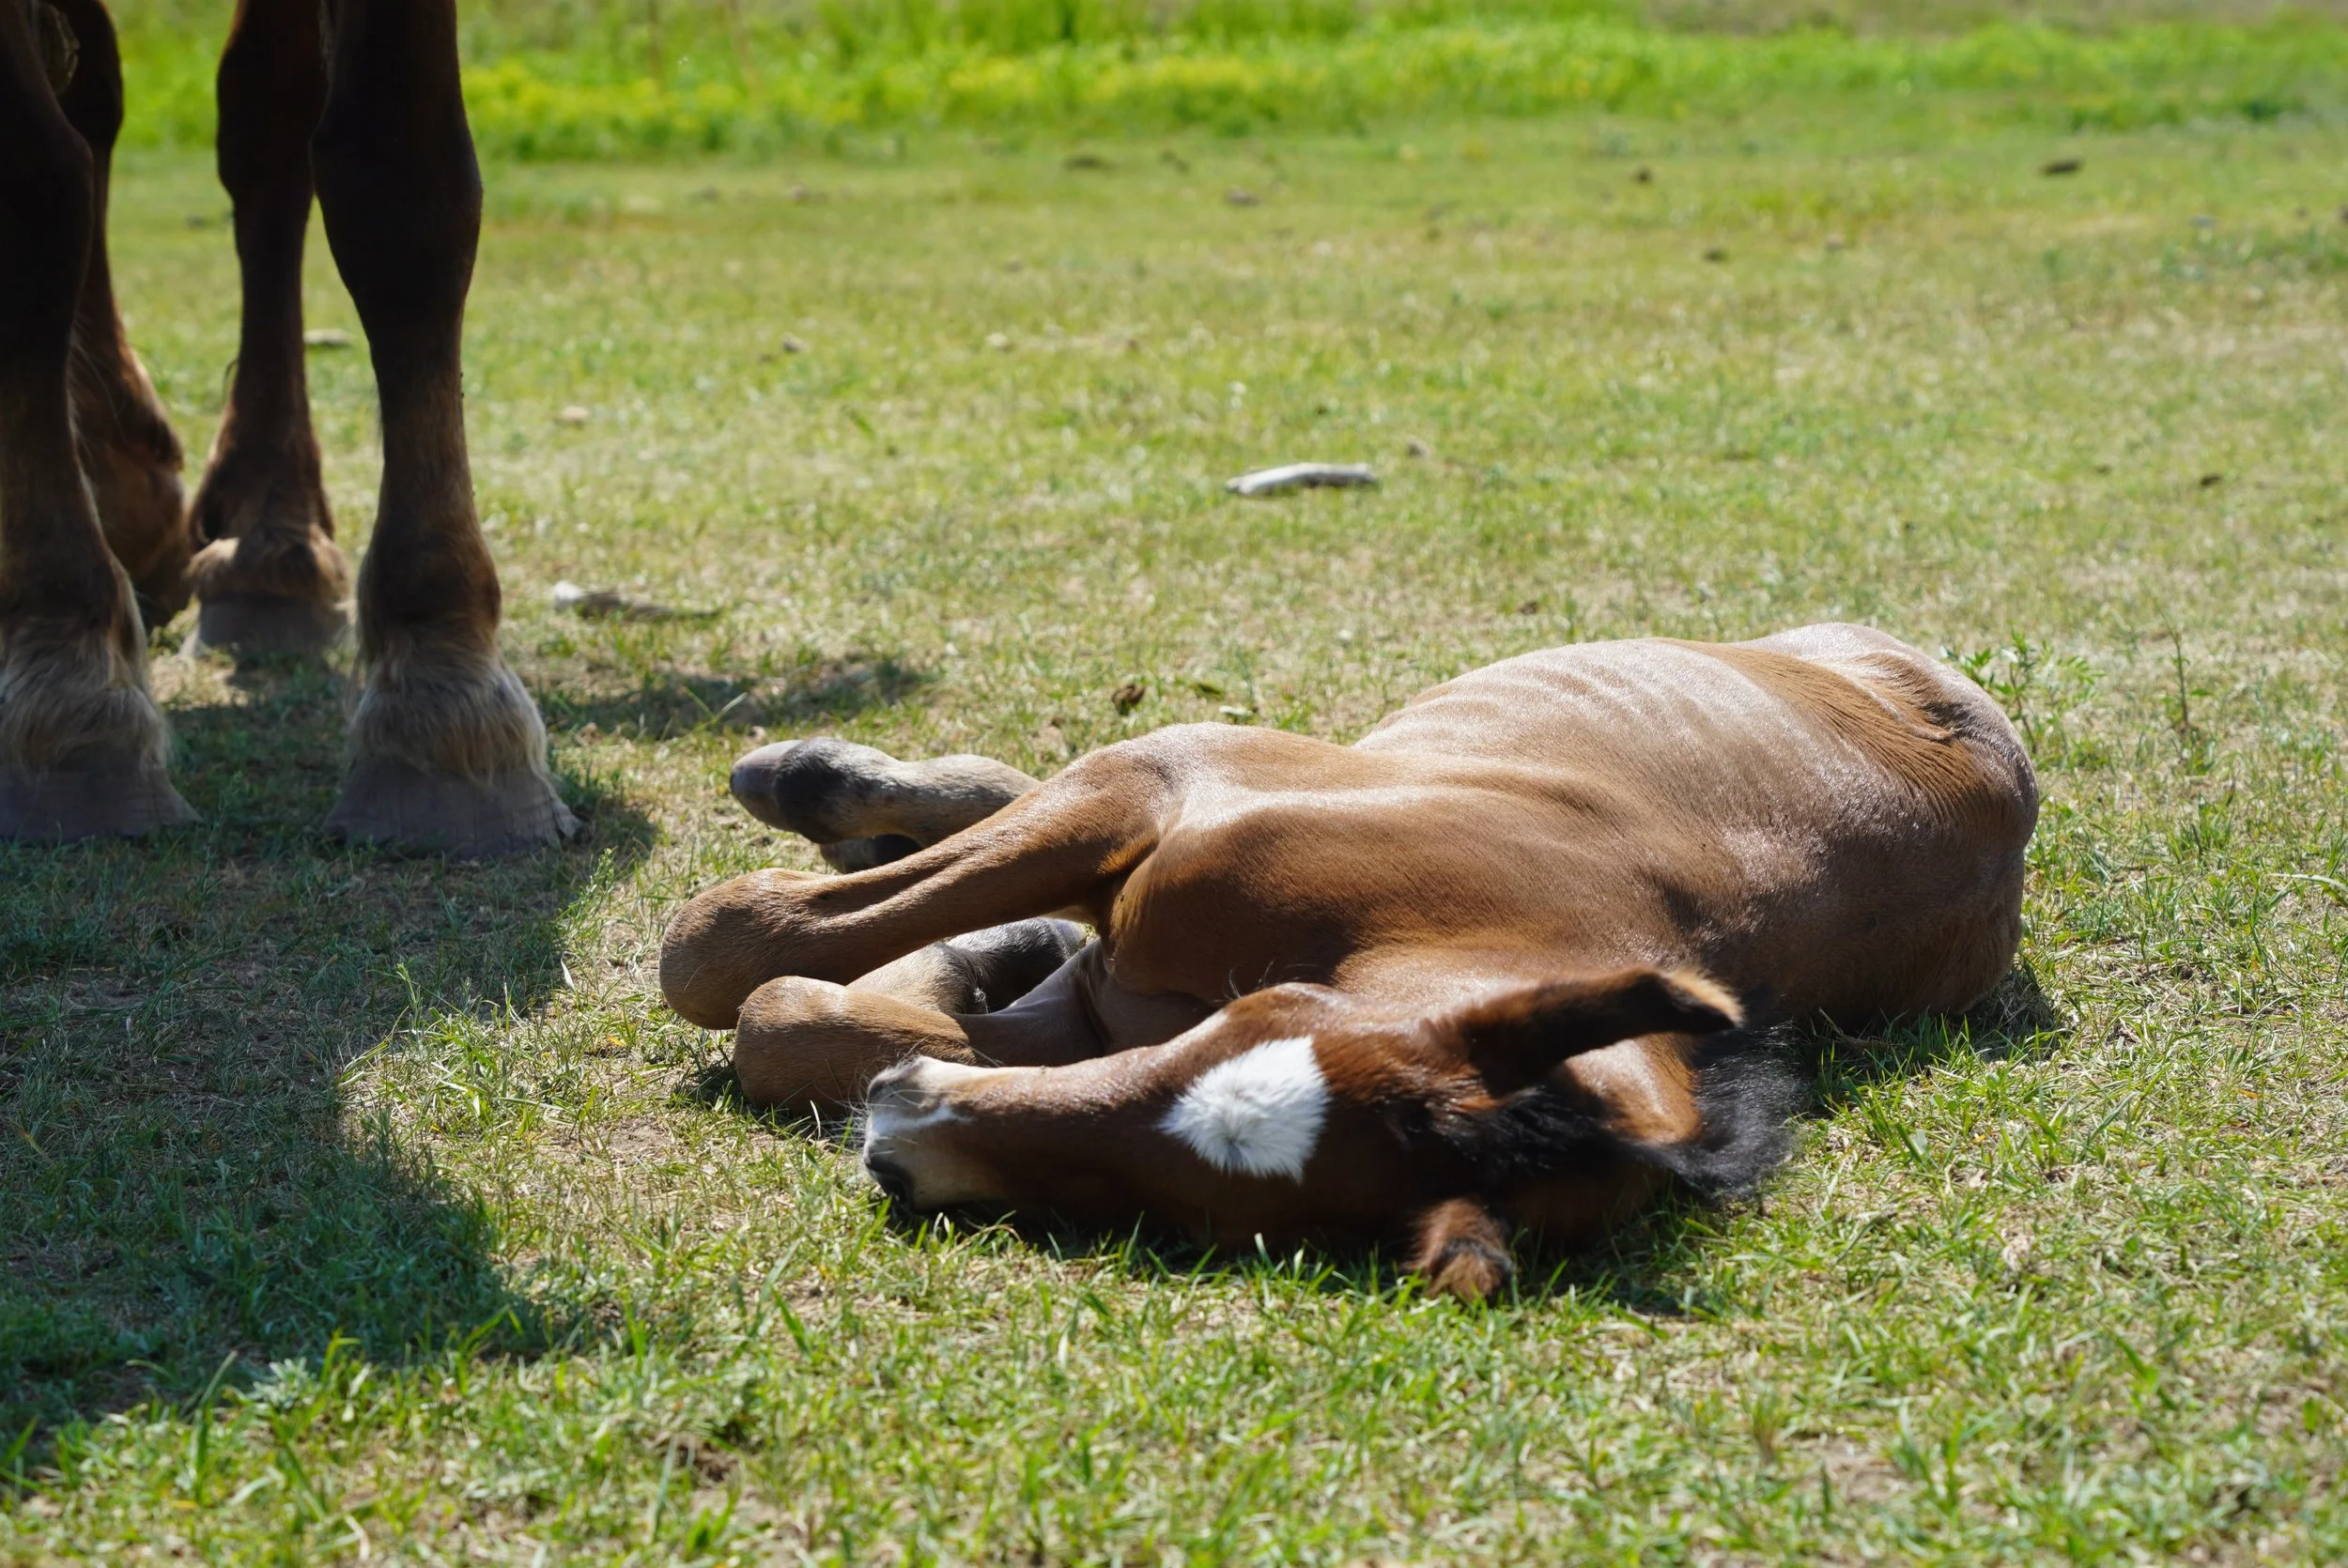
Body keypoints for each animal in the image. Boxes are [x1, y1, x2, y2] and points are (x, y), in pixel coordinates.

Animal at [658, 623, 2037, 1298]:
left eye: (1185, 1215)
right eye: (1250, 1014)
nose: (903, 1147)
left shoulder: (1085, 1017)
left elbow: (786, 1005)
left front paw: (934, 986)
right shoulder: (1152, 782)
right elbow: (727, 944)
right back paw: (815, 778)